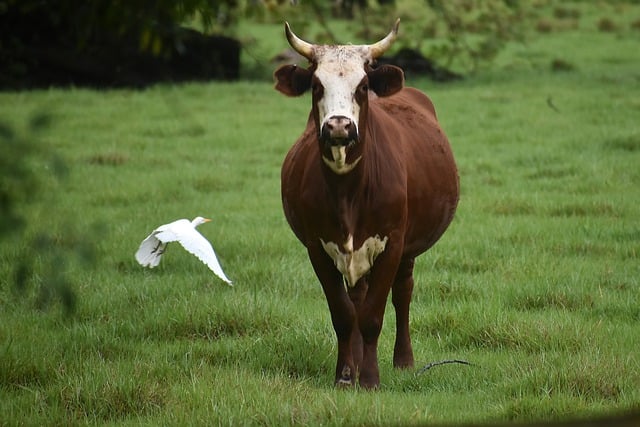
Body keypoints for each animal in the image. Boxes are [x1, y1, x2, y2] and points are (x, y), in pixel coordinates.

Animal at [272, 19, 458, 388]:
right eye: (316, 85)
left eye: (361, 86)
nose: (339, 125)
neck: (348, 190)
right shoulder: (318, 248)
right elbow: (345, 314)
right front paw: (346, 375)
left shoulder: (392, 244)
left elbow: (373, 315)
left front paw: (370, 378)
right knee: (357, 296)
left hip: (408, 249)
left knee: (402, 293)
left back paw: (403, 360)